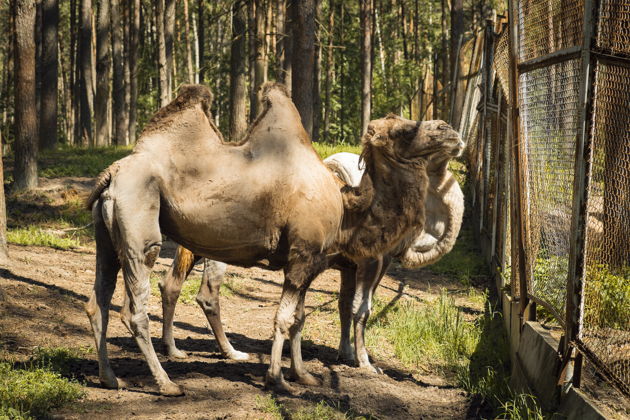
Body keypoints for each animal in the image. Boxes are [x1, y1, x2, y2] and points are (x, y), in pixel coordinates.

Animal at [159, 145, 464, 374]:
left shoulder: (348, 266)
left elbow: (344, 306)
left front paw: (345, 353)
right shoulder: (374, 262)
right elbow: (362, 309)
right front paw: (367, 364)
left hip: (194, 245)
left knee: (171, 284)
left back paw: (174, 349)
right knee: (208, 295)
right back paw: (232, 353)